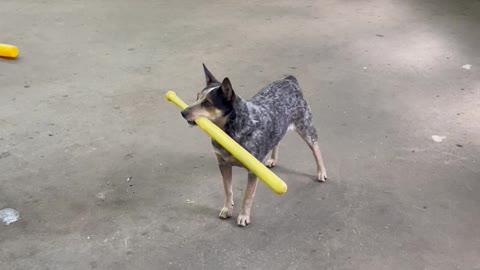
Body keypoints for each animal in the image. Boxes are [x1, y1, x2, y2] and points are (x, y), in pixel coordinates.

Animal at [180, 63, 326, 226]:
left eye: (207, 103)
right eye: (197, 97)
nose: (183, 112)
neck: (229, 132)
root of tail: (289, 80)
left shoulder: (253, 171)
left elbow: (247, 195)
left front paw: (244, 215)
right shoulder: (223, 164)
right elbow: (227, 189)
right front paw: (227, 208)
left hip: (305, 126)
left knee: (316, 148)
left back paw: (321, 172)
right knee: (277, 140)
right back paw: (273, 159)